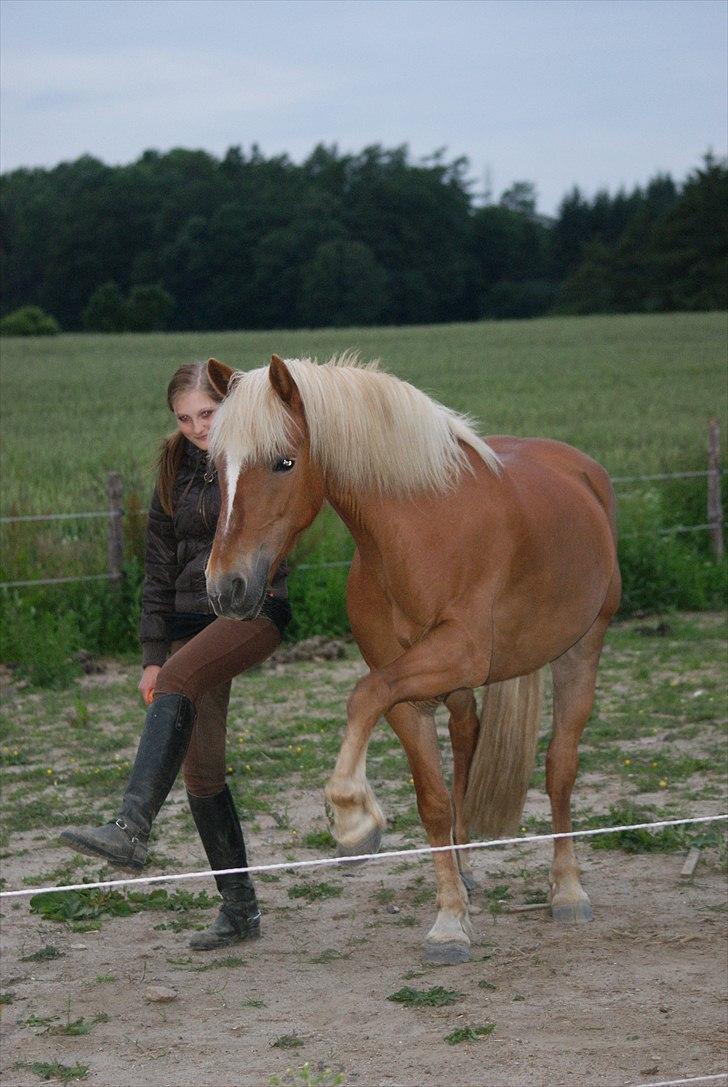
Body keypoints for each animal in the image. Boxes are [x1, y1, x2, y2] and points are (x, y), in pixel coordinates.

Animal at [204, 352, 621, 965]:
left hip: (580, 652)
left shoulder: (456, 655)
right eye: (214, 469)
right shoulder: (407, 689)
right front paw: (450, 921)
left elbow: (362, 697)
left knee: (560, 769)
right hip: (461, 689)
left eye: (284, 462)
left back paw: (568, 890)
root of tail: (584, 472)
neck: (419, 534)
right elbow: (433, 801)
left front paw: (353, 818)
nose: (225, 588)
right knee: (468, 742)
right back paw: (468, 870)